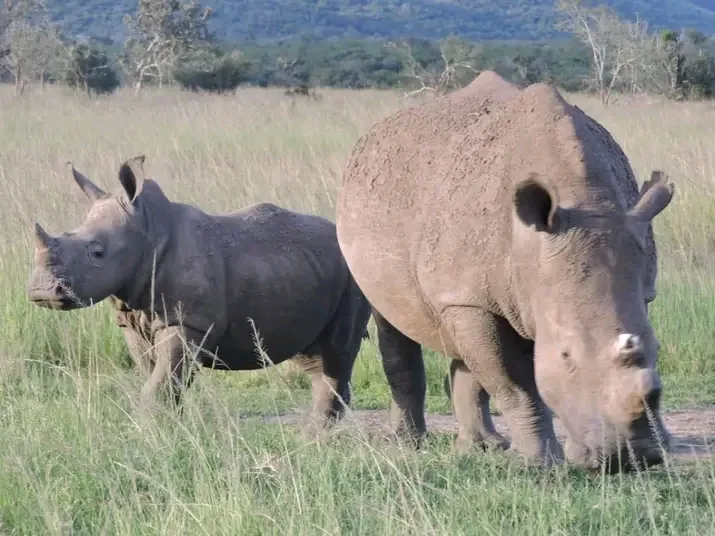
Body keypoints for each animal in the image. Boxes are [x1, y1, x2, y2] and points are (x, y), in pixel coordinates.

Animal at [27, 156, 372, 429]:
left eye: (97, 253)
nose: (41, 291)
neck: (147, 231)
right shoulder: (133, 320)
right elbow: (159, 378)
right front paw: (168, 429)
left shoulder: (188, 322)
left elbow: (161, 382)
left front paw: (153, 434)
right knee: (314, 357)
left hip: (354, 272)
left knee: (335, 354)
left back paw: (316, 438)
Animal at [335, 71, 675, 472]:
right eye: (566, 356)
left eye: (657, 347)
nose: (629, 458)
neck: (587, 200)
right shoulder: (471, 298)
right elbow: (514, 382)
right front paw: (536, 465)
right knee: (392, 322)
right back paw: (407, 444)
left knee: (466, 350)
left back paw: (481, 448)